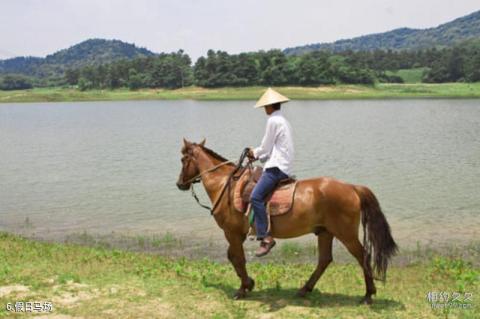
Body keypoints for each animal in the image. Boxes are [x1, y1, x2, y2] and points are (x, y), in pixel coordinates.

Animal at [176, 139, 398, 306]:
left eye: (183, 159)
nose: (180, 184)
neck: (226, 185)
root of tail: (352, 188)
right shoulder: (235, 234)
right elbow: (233, 257)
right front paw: (249, 283)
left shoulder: (232, 233)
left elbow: (237, 258)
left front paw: (242, 289)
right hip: (325, 232)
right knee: (325, 260)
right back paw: (304, 289)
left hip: (346, 234)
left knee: (362, 256)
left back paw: (368, 295)